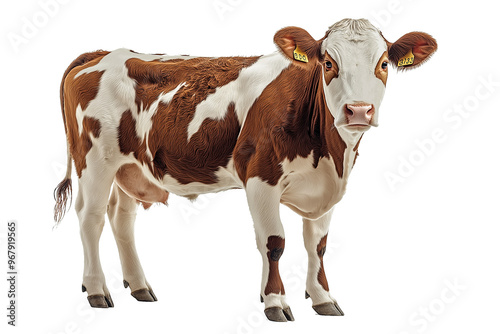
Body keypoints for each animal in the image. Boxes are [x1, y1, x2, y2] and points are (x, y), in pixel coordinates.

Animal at [52, 18, 436, 320]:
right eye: (328, 63)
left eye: (383, 63)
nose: (358, 111)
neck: (330, 153)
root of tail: (103, 53)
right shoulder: (260, 177)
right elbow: (274, 242)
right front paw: (275, 302)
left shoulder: (325, 186)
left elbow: (318, 245)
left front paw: (323, 298)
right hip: (94, 160)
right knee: (91, 217)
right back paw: (97, 290)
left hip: (130, 166)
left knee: (121, 218)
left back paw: (139, 286)